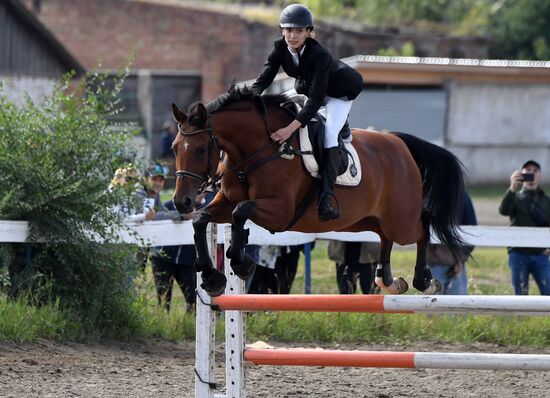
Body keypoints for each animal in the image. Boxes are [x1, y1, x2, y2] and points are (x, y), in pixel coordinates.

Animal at [171, 88, 466, 298]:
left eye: (201, 149)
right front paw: (213, 278)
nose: (181, 202)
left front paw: (241, 263)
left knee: (423, 225)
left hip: (400, 219)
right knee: (385, 236)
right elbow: (202, 219)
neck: (259, 149)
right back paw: (390, 281)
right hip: (366, 220)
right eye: (174, 147)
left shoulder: (279, 211)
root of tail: (399, 142)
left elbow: (240, 211)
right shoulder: (225, 202)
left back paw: (425, 282)